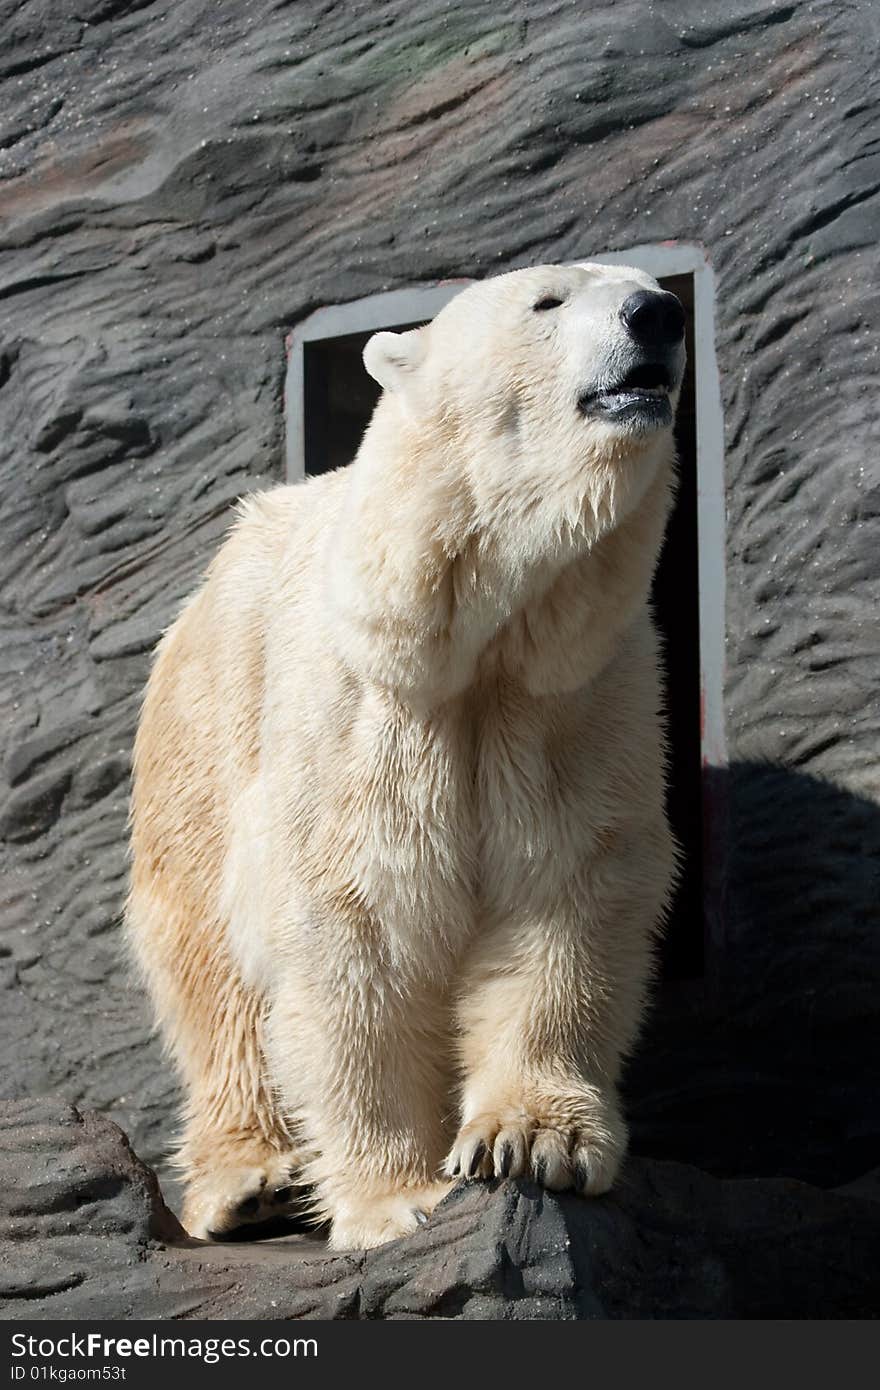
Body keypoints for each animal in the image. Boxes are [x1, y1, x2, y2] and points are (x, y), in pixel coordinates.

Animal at [127, 261, 683, 1251]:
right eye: (547, 301)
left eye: (653, 283)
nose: (659, 314)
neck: (472, 635)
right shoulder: (369, 714)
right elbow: (360, 930)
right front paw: (399, 1199)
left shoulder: (572, 695)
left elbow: (566, 895)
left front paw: (528, 1141)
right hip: (205, 728)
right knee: (206, 957)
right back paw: (249, 1181)